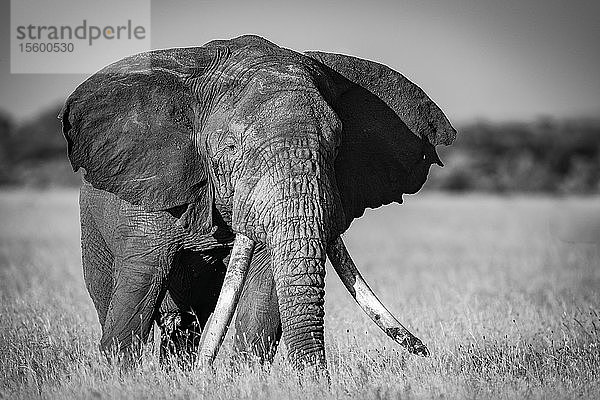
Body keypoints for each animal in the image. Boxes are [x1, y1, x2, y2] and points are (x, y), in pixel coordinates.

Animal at [59, 35, 454, 372]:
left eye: (336, 145)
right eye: (231, 147)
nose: (423, 350)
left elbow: (263, 290)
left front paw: (245, 377)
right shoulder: (150, 189)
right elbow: (140, 284)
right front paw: (120, 376)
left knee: (186, 324)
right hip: (91, 225)